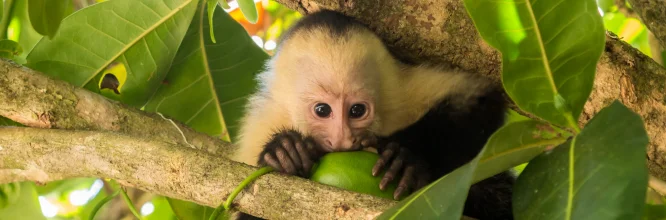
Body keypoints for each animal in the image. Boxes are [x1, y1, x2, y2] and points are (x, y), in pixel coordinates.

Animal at [233, 9, 512, 219]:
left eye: (357, 110)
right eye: (322, 110)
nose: (343, 141)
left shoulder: (401, 93)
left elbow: (478, 98)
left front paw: (403, 156)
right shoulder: (261, 126)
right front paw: (284, 151)